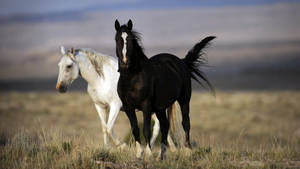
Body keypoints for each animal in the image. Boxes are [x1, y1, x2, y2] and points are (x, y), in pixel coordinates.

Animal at [113, 19, 214, 160]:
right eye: (117, 39)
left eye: (131, 39)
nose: (124, 62)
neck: (133, 78)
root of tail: (182, 62)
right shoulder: (128, 107)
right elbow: (135, 129)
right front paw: (139, 154)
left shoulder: (146, 105)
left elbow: (146, 129)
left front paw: (148, 154)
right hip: (160, 108)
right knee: (165, 126)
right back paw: (161, 156)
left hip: (184, 100)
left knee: (186, 123)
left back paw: (187, 151)